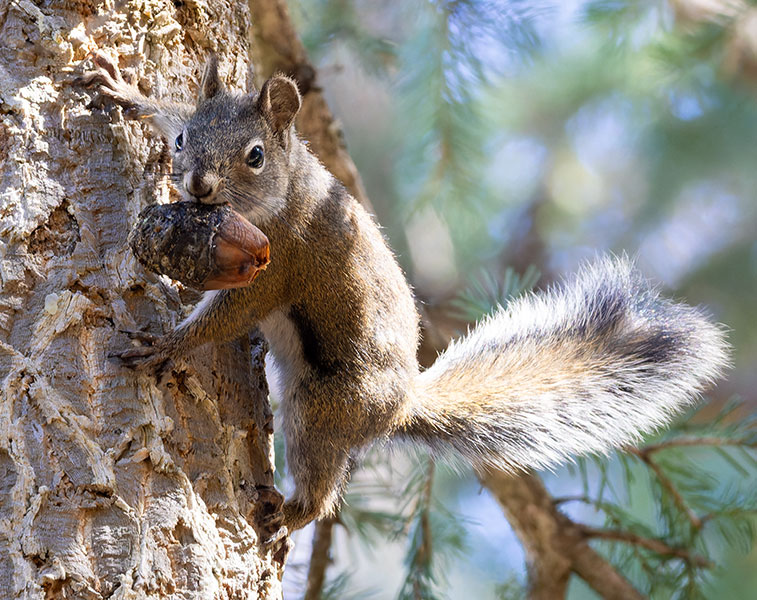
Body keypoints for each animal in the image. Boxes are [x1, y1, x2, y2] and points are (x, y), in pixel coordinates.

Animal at [77, 53, 729, 533]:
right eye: (184, 138)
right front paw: (126, 91)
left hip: (324, 404)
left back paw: (285, 512)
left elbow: (229, 316)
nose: (197, 184)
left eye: (255, 157)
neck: (286, 190)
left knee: (321, 487)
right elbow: (160, 108)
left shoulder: (277, 261)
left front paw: (167, 346)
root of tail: (403, 404)